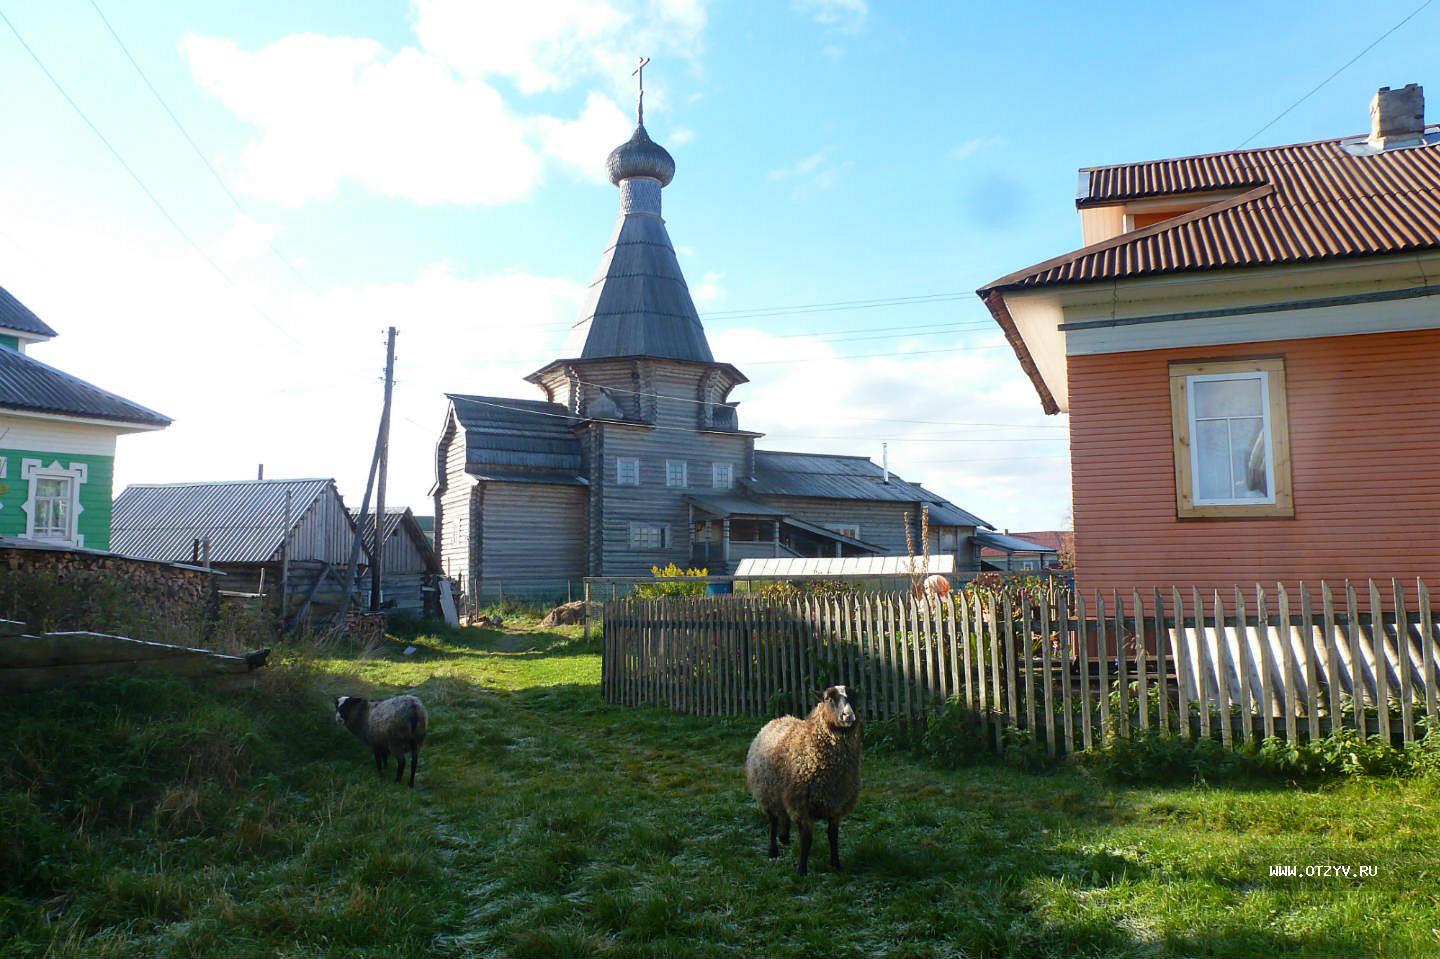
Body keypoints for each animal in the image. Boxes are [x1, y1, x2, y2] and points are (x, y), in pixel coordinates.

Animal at [748, 679, 858, 875]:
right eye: (828, 698)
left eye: (854, 697)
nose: (848, 715)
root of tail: (779, 718)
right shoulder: (801, 804)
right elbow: (807, 839)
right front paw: (802, 871)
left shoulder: (836, 803)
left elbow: (833, 836)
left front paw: (836, 865)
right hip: (767, 792)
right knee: (773, 820)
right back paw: (773, 851)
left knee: (783, 815)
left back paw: (784, 837)